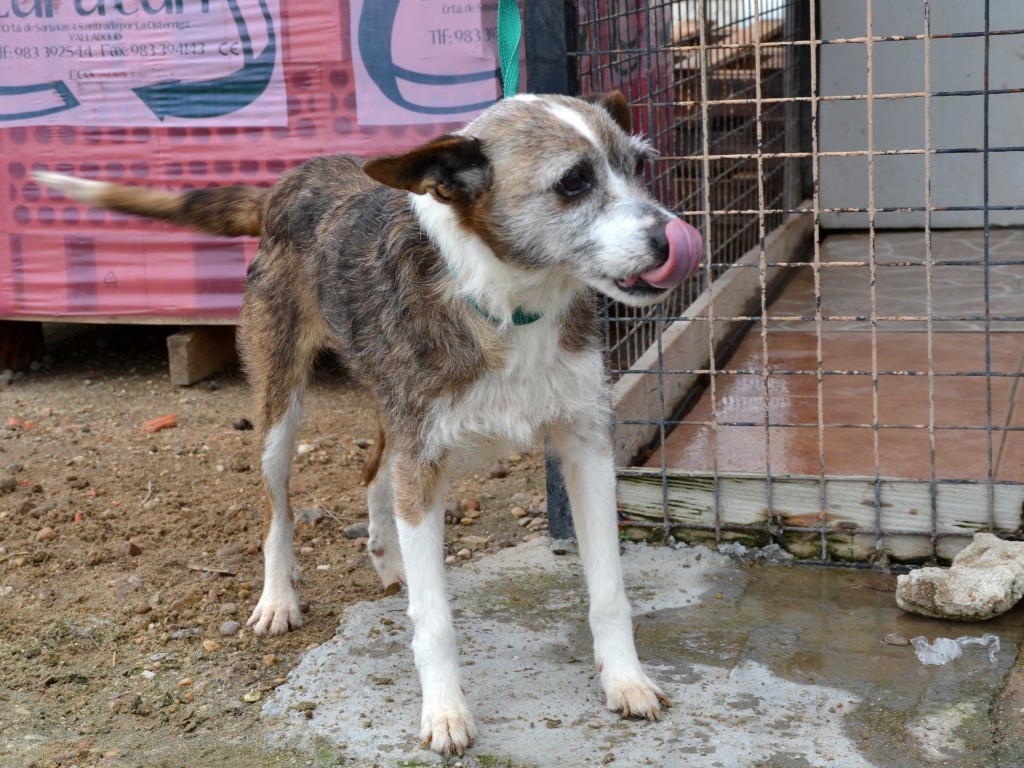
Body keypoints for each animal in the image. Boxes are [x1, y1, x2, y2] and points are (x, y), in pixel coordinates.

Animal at [34, 93, 704, 761]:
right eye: (573, 182)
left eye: (638, 165)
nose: (670, 238)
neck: (509, 304)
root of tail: (288, 183)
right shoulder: (423, 456)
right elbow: (434, 620)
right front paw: (446, 712)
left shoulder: (585, 445)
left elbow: (609, 589)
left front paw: (626, 680)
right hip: (281, 406)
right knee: (277, 506)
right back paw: (279, 598)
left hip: (393, 410)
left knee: (374, 473)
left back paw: (390, 558)